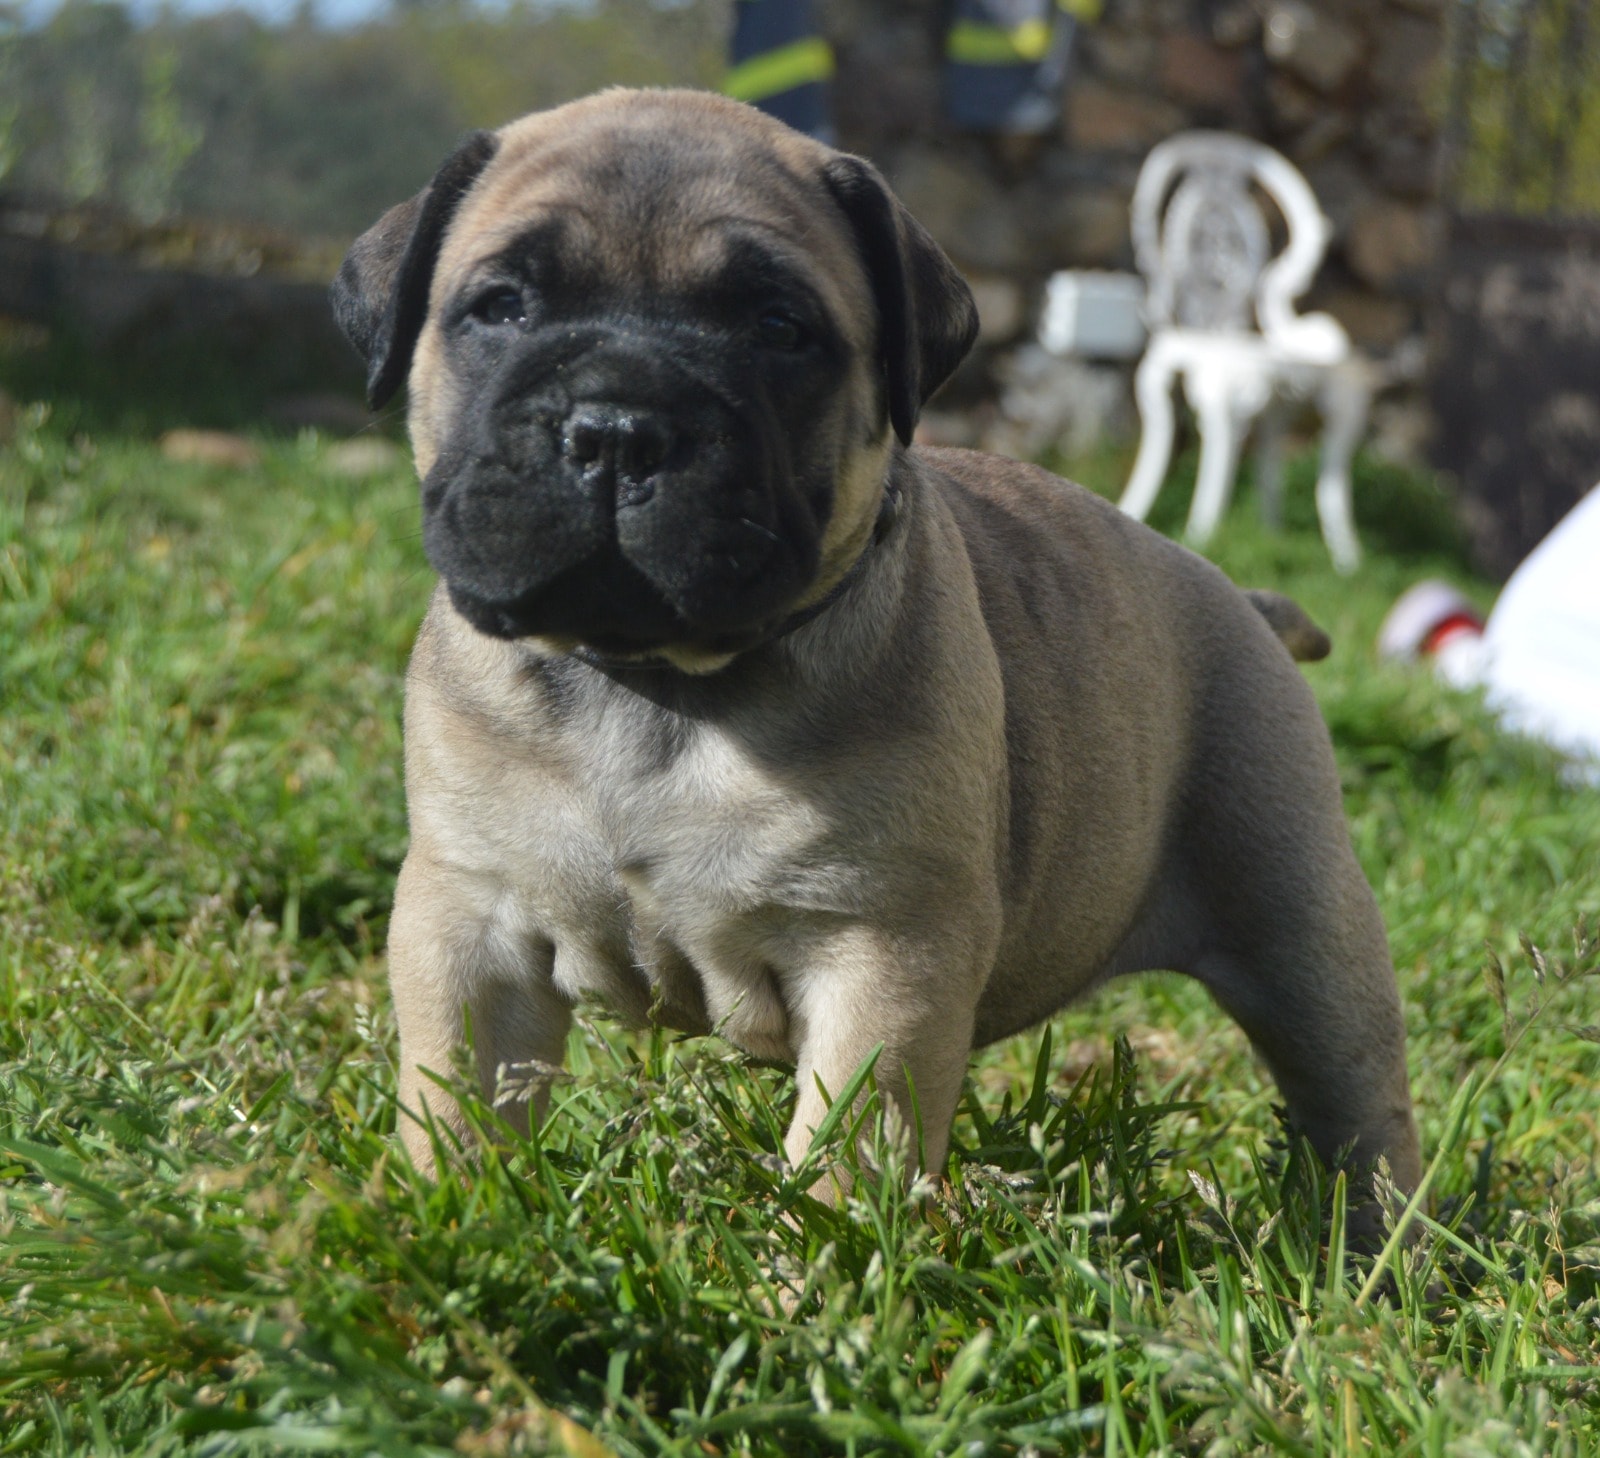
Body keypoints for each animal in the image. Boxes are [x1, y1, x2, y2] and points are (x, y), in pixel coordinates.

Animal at [331, 88, 1421, 1201]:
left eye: (778, 328)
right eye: (502, 307)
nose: (618, 426)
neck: (656, 686)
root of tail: (1238, 597)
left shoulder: (881, 953)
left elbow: (845, 1147)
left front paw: (817, 1245)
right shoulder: (470, 927)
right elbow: (459, 1105)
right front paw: (451, 1211)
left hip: (1301, 927)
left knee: (1358, 1106)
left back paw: (1373, 1235)